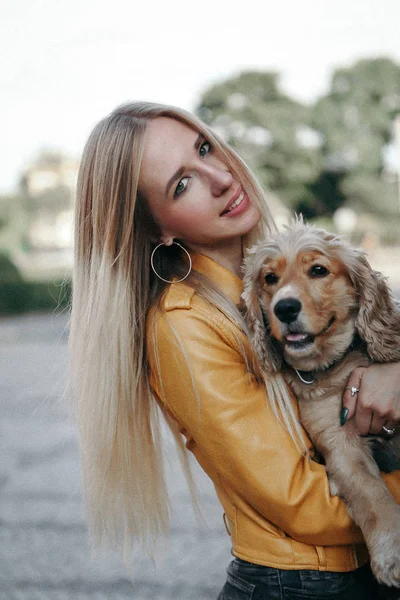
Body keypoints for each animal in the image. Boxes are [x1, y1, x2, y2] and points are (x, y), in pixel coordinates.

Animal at [241, 219, 400, 584]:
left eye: (318, 270)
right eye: (270, 278)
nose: (285, 308)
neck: (337, 364)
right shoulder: (339, 439)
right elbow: (371, 493)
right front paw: (393, 553)